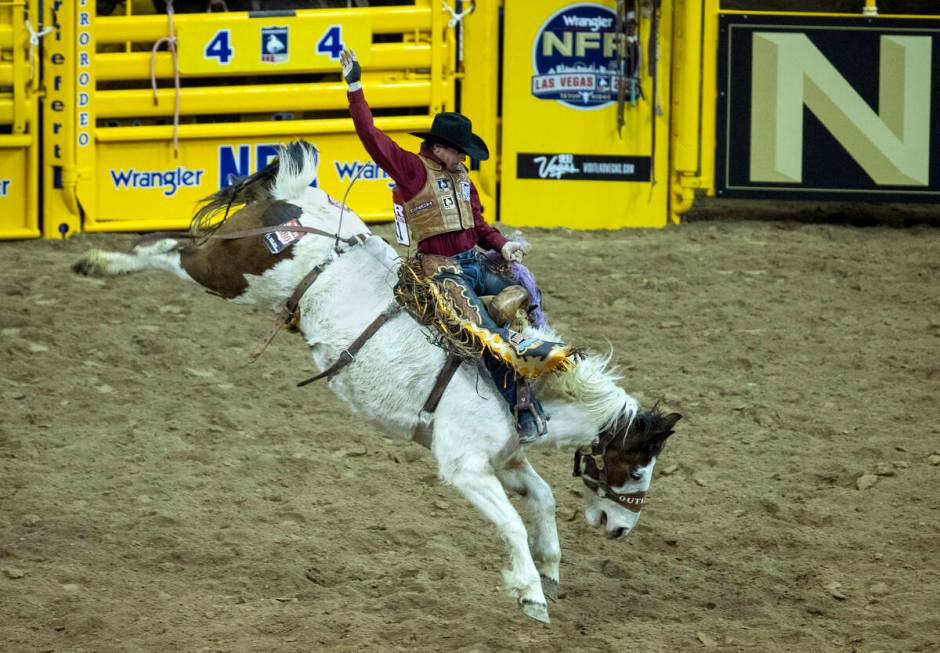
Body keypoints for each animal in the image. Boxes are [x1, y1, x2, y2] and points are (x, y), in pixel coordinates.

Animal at [70, 141, 680, 620]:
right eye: (636, 466)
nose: (622, 530)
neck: (522, 380)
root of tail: (297, 196)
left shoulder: (504, 459)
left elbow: (544, 498)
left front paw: (550, 568)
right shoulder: (465, 468)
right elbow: (510, 523)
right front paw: (530, 592)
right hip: (228, 269)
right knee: (169, 250)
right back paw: (97, 263)